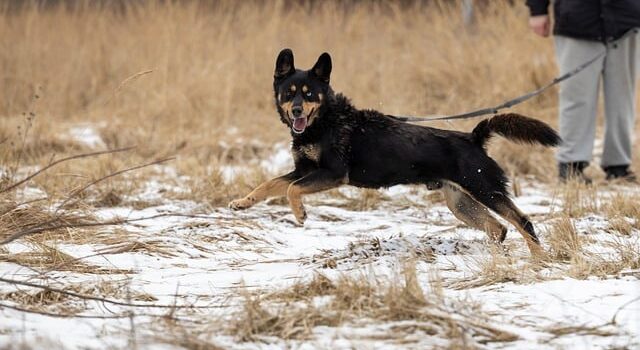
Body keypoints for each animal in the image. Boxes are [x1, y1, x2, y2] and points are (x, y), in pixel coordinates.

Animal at [229, 48, 560, 258]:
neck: (325, 122)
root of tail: (474, 138)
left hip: (484, 188)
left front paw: (300, 214)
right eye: (289, 93)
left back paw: (539, 259)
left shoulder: (333, 174)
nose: (297, 110)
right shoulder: (304, 170)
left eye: (309, 94)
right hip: (461, 203)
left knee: (522, 221)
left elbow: (291, 191)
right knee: (498, 228)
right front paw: (243, 202)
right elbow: (270, 185)